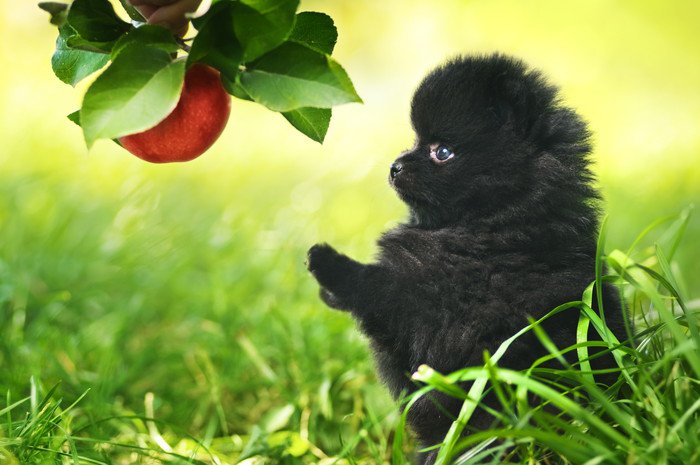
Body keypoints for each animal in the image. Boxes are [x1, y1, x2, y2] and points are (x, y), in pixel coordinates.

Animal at [306, 53, 624, 460]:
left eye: (442, 151)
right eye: (416, 141)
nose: (395, 165)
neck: (495, 224)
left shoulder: (433, 299)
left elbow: (378, 288)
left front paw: (328, 263)